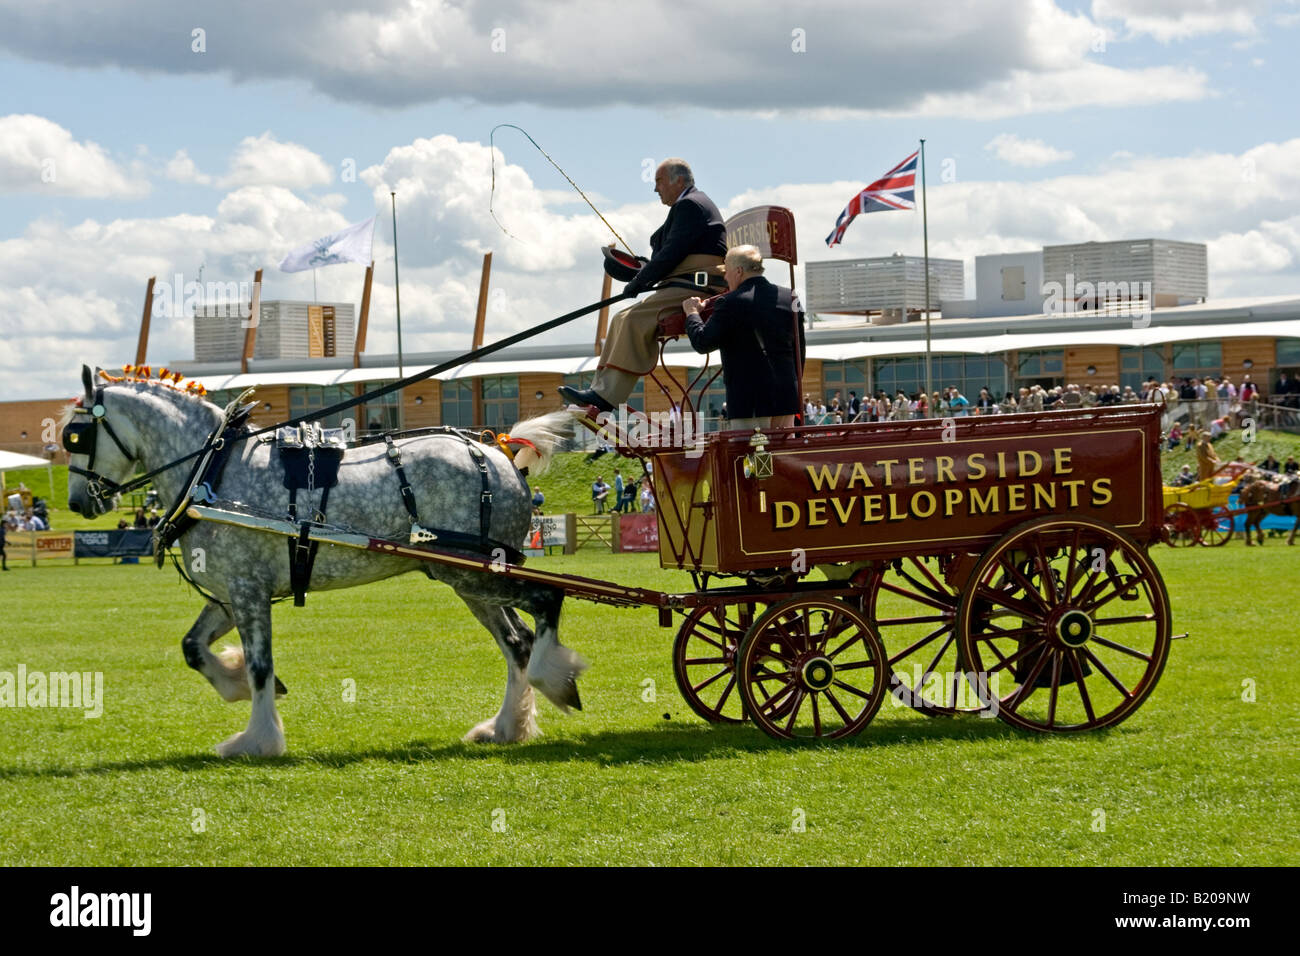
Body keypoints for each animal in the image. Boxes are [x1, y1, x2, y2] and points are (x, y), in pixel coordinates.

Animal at [64, 366, 585, 754]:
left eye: (75, 435)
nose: (76, 502)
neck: (215, 469)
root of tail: (500, 454)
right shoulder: (232, 592)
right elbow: (194, 647)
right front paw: (234, 685)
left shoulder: (249, 592)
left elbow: (260, 665)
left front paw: (258, 739)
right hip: (471, 581)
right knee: (516, 641)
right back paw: (506, 728)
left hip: (470, 573)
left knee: (544, 603)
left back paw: (554, 681)